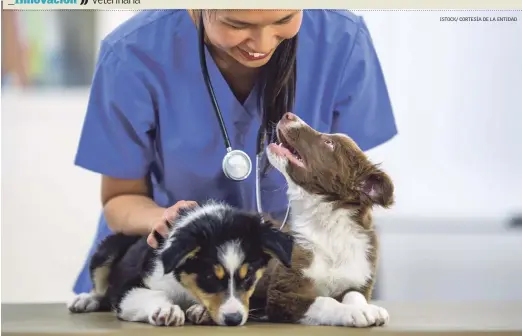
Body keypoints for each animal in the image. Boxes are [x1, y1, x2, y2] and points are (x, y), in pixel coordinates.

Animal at [256, 111, 394, 326]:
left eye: (329, 143)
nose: (288, 114)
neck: (329, 228)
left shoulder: (359, 279)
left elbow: (354, 295)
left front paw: (367, 308)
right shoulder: (283, 293)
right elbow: (324, 301)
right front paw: (352, 313)